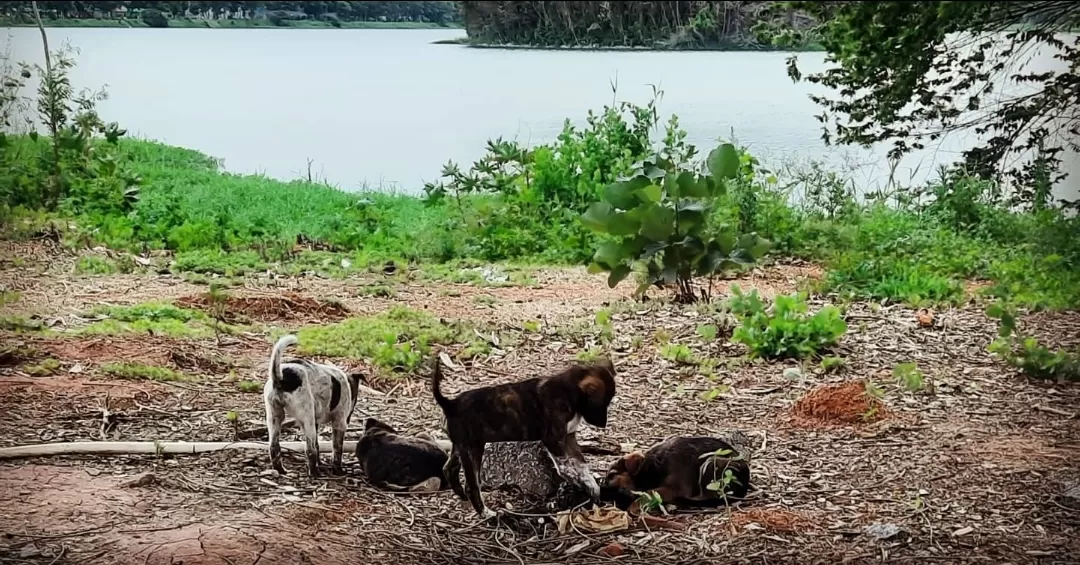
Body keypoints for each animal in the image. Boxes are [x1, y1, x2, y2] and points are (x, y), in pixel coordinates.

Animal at [263, 337, 365, 477]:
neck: (347, 384)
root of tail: (280, 376)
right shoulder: (339, 422)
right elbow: (337, 449)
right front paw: (338, 470)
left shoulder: (317, 423)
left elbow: (318, 445)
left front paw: (320, 463)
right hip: (307, 418)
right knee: (309, 449)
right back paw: (314, 473)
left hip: (275, 416)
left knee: (274, 447)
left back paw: (281, 470)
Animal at [604, 436, 756, 509]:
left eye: (612, 475)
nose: (602, 488)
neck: (653, 466)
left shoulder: (674, 488)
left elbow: (648, 493)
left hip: (711, 462)